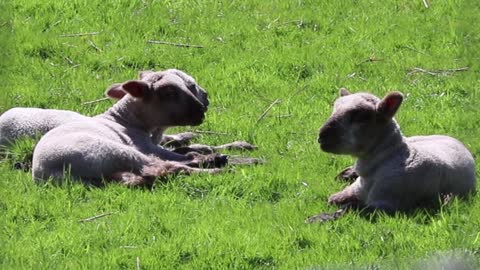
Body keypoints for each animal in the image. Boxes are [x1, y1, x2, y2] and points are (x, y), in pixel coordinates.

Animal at [31, 68, 223, 187]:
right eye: (169, 92)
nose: (202, 110)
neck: (126, 120)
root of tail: (49, 173)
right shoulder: (144, 146)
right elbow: (175, 156)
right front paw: (205, 156)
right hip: (113, 151)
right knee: (165, 167)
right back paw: (216, 166)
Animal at [316, 88, 474, 213]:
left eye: (362, 116)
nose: (322, 136)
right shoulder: (353, 191)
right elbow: (332, 199)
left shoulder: (383, 204)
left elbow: (348, 208)